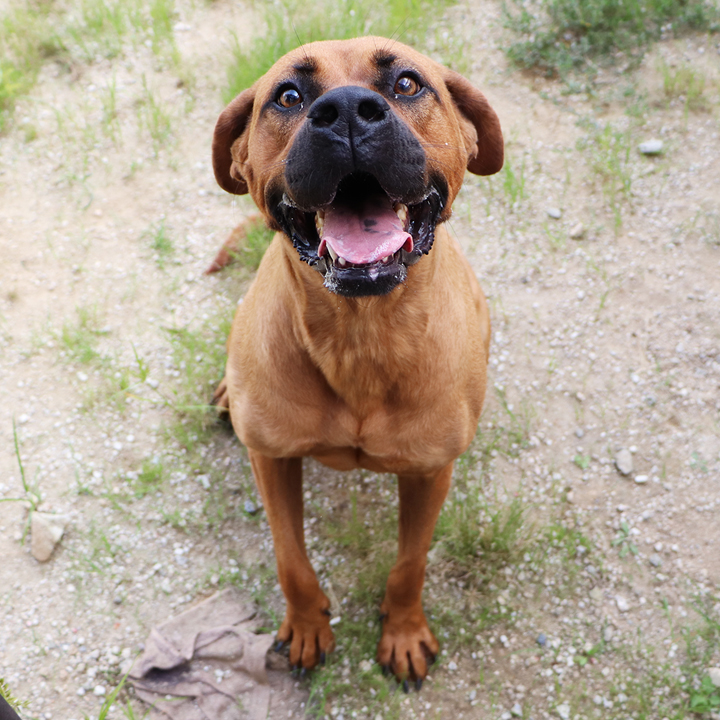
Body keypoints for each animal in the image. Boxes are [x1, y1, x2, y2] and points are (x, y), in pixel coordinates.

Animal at [208, 36, 500, 684]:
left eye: (408, 83)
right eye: (288, 96)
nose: (344, 111)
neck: (361, 338)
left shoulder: (429, 471)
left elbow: (410, 563)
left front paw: (404, 631)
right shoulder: (271, 457)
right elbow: (290, 557)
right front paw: (308, 626)